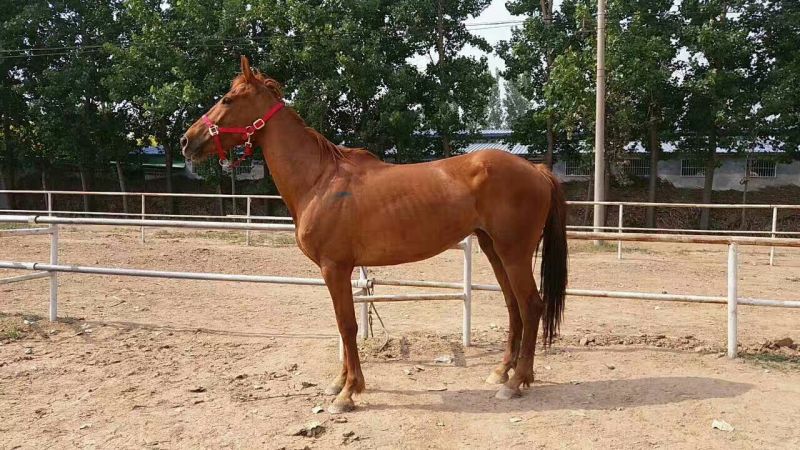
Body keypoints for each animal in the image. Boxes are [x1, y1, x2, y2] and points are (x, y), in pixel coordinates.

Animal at [181, 56, 568, 413]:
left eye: (228, 99)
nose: (187, 141)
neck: (320, 180)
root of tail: (536, 169)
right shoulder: (337, 270)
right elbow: (342, 326)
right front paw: (340, 383)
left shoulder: (335, 268)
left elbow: (347, 325)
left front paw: (348, 393)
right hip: (493, 249)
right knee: (514, 306)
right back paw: (502, 372)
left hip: (513, 252)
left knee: (531, 305)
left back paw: (516, 382)